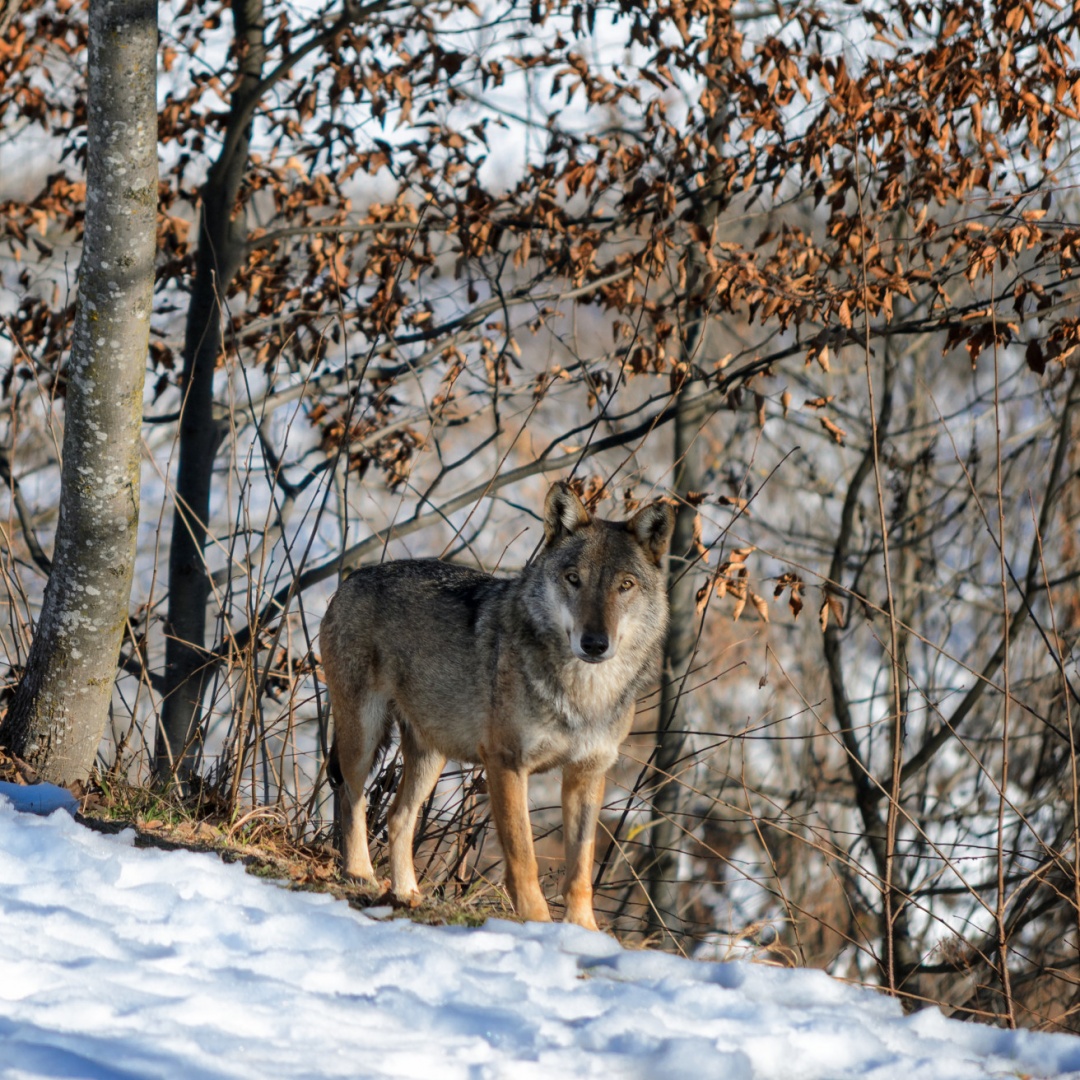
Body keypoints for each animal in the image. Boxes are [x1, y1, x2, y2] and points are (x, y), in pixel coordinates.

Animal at [321, 481, 673, 928]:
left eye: (625, 585)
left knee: (399, 817)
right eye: (573, 579)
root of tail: (352, 578)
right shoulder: (506, 763)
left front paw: (583, 931)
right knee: (353, 797)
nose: (594, 643)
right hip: (363, 736)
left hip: (430, 756)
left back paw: (407, 894)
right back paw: (361, 875)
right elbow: (524, 859)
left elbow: (580, 871)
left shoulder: (588, 772)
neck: (584, 693)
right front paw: (538, 924)